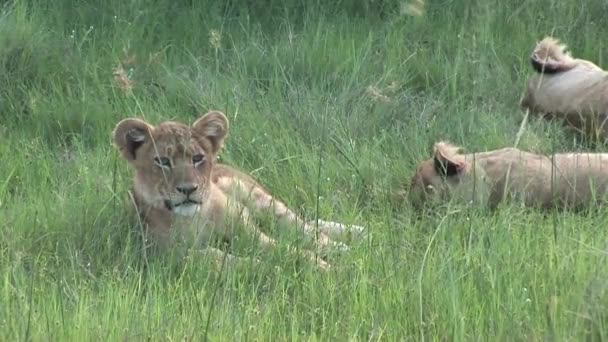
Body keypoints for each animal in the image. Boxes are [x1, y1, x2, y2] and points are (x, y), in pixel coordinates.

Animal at [111, 111, 364, 270]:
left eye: (197, 158)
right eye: (163, 161)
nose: (188, 189)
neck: (194, 218)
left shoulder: (248, 231)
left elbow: (286, 248)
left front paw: (320, 265)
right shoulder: (173, 255)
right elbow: (231, 260)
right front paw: (276, 269)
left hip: (260, 200)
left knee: (306, 227)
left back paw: (351, 244)